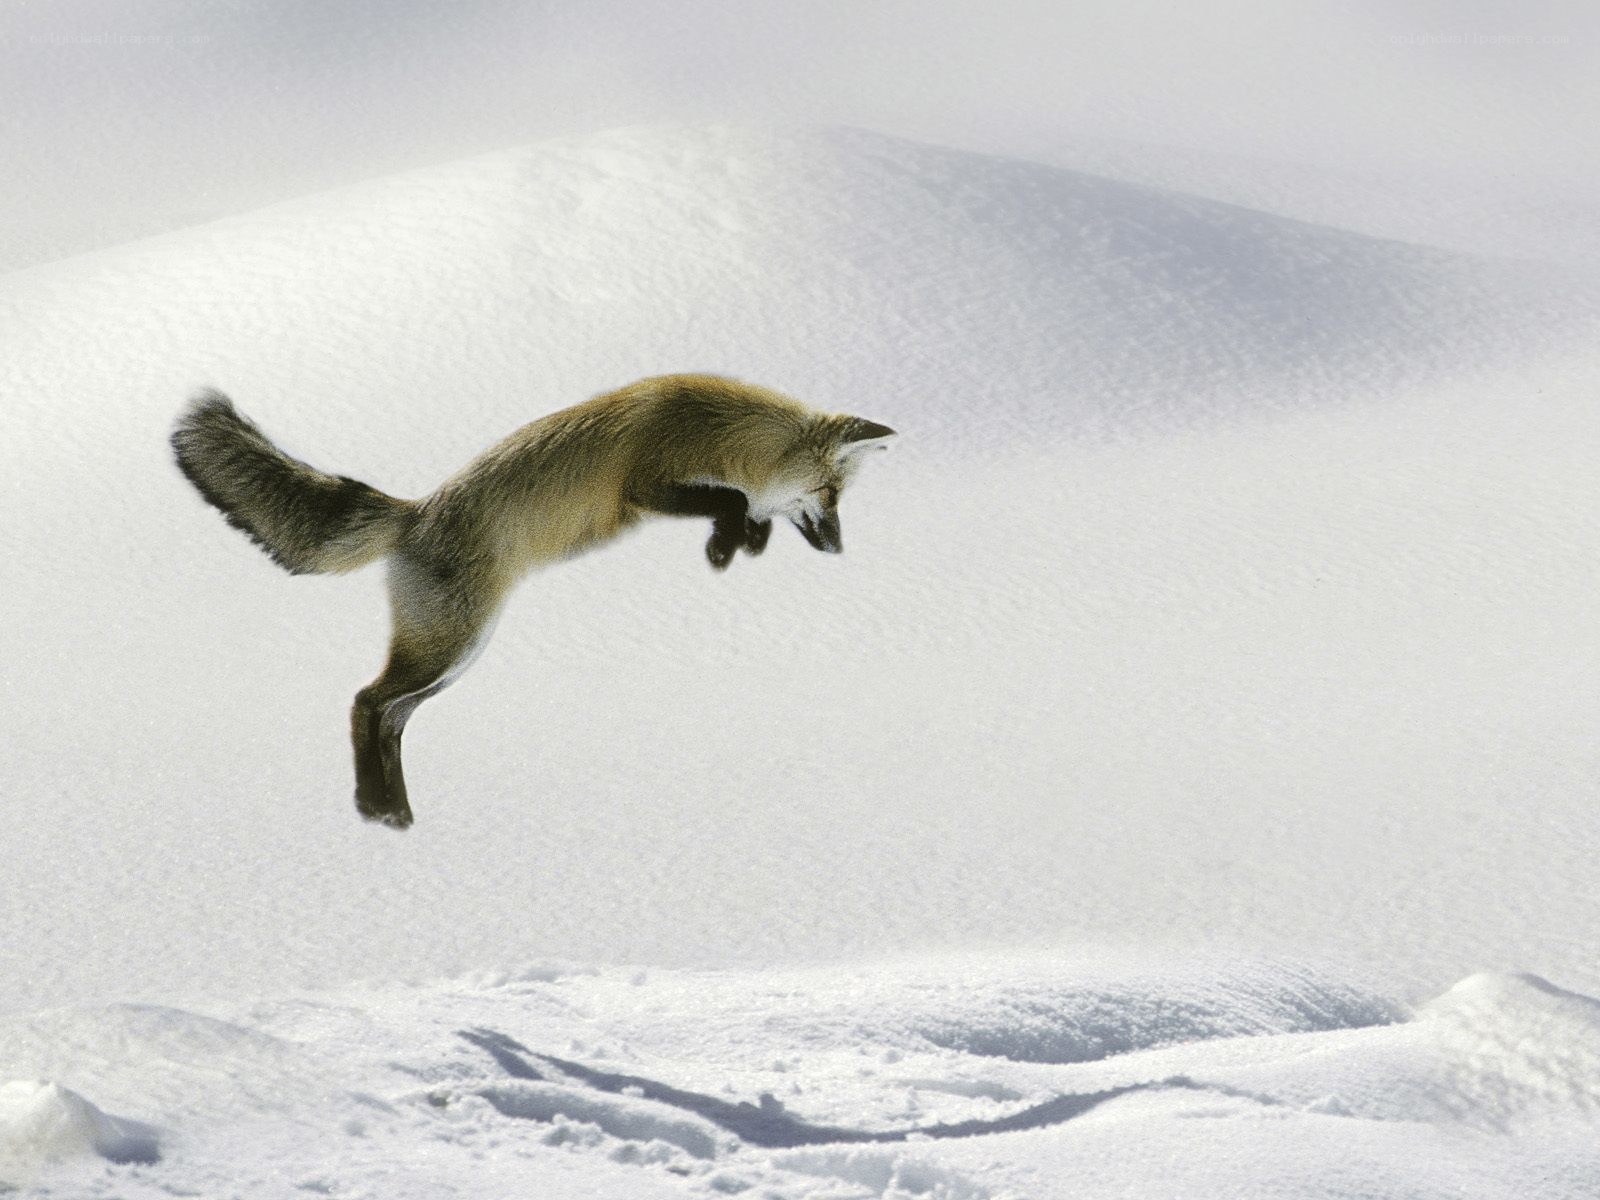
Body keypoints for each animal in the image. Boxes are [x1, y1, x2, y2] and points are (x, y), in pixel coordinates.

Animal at [171, 373, 895, 830]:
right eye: (830, 494)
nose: (838, 550)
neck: (718, 429)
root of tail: (414, 513)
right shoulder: (643, 482)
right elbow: (733, 499)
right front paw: (727, 543)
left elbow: (745, 509)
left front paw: (741, 544)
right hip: (450, 644)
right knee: (366, 702)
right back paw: (377, 807)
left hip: (457, 655)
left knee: (391, 717)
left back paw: (393, 813)